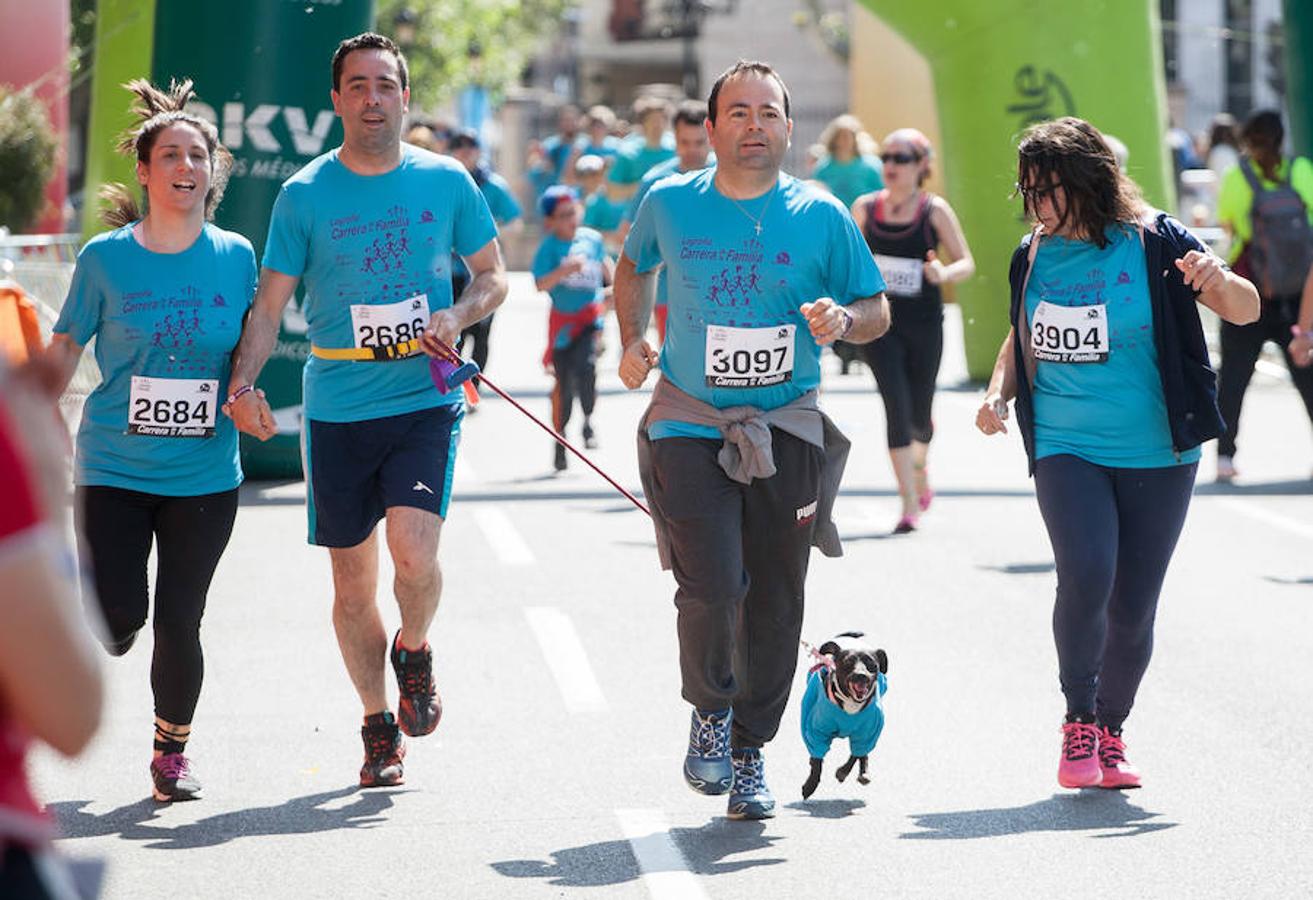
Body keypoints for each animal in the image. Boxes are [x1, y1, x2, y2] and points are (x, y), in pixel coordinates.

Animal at [793, 628, 887, 798]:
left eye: (872, 664)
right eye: (848, 662)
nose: (861, 675)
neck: (850, 705)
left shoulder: (867, 732)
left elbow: (857, 753)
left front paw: (843, 771)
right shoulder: (816, 732)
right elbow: (817, 761)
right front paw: (810, 785)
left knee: (863, 754)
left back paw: (864, 773)